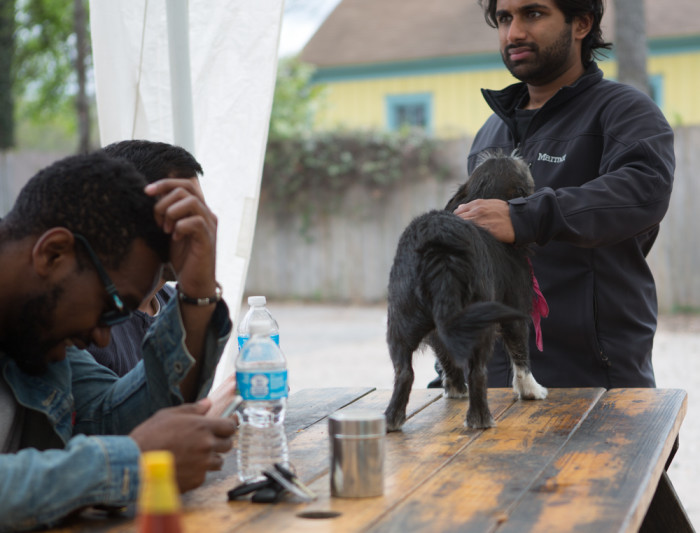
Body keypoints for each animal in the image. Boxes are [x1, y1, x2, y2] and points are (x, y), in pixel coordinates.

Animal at [386, 152, 544, 430]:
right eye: (521, 171)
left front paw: (456, 389)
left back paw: (391, 420)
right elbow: (520, 353)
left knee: (403, 372)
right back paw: (480, 419)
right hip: (478, 322)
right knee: (478, 371)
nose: (510, 152)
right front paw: (530, 390)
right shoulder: (515, 308)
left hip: (401, 317)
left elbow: (446, 356)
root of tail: (440, 248)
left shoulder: (438, 330)